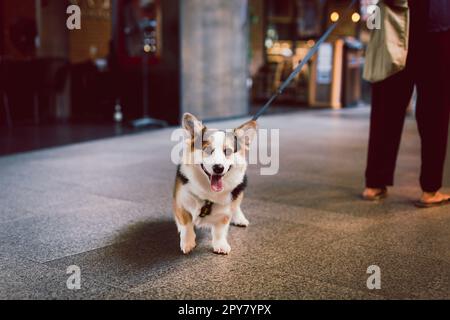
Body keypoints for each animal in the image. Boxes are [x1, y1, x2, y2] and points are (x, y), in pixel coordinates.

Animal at [173, 112, 256, 255]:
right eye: (207, 150)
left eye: (228, 152)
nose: (218, 168)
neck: (208, 192)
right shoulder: (180, 202)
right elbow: (186, 223)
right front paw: (188, 242)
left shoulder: (225, 213)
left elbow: (219, 231)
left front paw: (220, 245)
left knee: (236, 206)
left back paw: (240, 219)